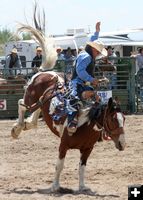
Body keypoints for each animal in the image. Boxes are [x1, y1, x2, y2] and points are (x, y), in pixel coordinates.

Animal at [10, 21, 125, 191]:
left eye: (124, 119)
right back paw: (16, 128)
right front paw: (55, 186)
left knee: (35, 112)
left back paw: (26, 124)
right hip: (30, 99)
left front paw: (83, 187)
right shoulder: (63, 145)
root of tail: (43, 72)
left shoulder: (87, 149)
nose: (122, 143)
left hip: (41, 102)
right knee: (21, 105)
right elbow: (59, 166)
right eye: (112, 119)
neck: (86, 122)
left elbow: (82, 168)